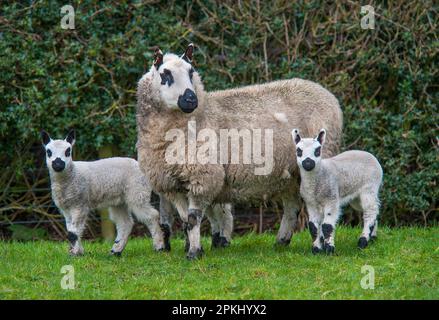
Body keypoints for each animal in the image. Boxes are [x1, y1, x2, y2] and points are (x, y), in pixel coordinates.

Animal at [137, 43, 344, 258]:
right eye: (165, 74)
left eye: (191, 72)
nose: (191, 100)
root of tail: (327, 94)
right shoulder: (172, 184)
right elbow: (186, 220)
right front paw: (193, 247)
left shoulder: (202, 177)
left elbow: (193, 219)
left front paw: (194, 253)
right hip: (290, 173)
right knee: (292, 207)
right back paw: (281, 241)